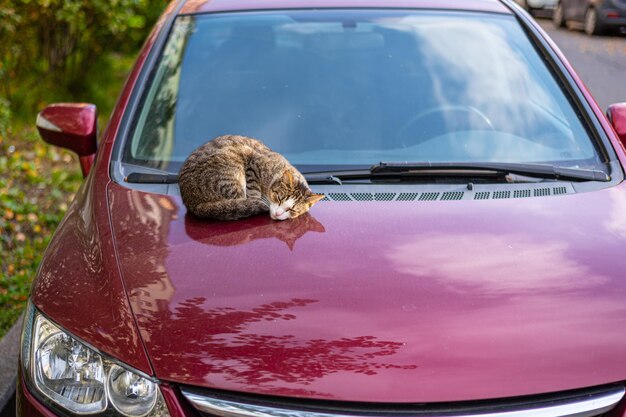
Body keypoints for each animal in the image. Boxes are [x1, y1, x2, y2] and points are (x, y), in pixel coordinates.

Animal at [176, 136, 322, 221]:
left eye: (292, 210)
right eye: (279, 198)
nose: (278, 214)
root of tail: (192, 203)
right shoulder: (253, 163)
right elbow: (253, 191)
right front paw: (257, 200)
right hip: (230, 171)